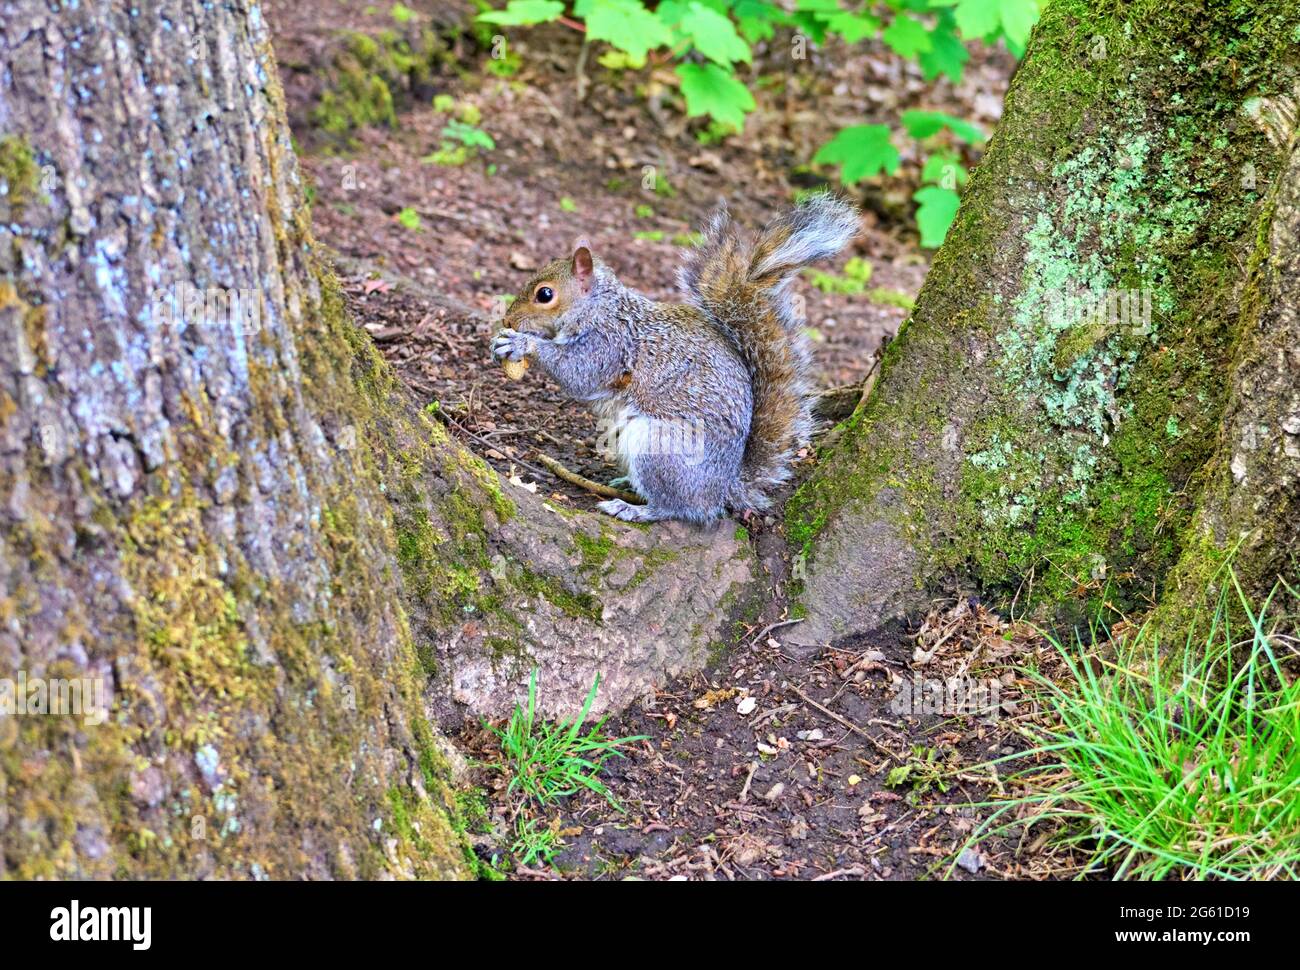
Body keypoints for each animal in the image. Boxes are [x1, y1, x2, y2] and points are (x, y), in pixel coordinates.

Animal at [491, 191, 857, 522]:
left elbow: (578, 374)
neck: (597, 307)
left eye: (545, 294)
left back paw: (635, 509)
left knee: (679, 508)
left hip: (660, 448)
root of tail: (724, 487)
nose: (508, 320)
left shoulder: (609, 343)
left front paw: (521, 343)